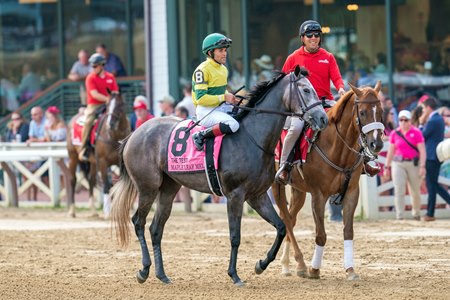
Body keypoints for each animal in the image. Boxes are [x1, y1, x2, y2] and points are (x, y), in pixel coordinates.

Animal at [110, 68, 328, 286]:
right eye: (306, 90)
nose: (323, 118)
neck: (252, 138)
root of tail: (134, 133)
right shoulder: (235, 195)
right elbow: (235, 236)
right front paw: (234, 274)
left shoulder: (257, 196)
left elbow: (281, 227)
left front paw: (261, 265)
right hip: (148, 187)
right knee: (138, 222)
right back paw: (144, 270)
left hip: (169, 189)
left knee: (156, 228)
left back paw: (162, 274)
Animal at [272, 81, 384, 280]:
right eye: (363, 112)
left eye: (381, 111)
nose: (376, 144)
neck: (337, 146)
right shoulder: (319, 196)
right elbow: (321, 235)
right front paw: (314, 269)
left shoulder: (352, 193)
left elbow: (348, 231)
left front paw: (350, 270)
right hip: (276, 186)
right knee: (286, 219)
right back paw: (300, 264)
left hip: (298, 191)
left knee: (290, 219)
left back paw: (287, 265)